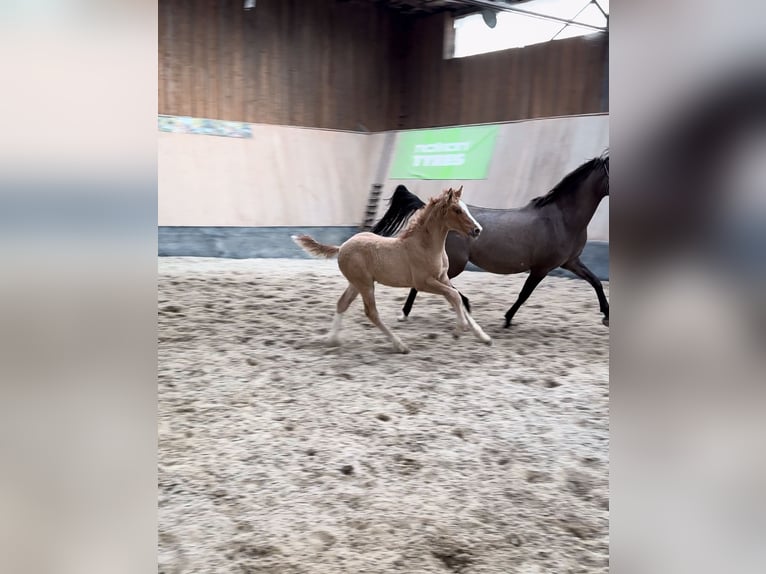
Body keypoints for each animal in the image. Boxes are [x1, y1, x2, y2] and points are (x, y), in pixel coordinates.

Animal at [294, 187, 492, 354]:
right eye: (457, 210)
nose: (478, 230)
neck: (425, 246)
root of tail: (342, 247)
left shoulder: (442, 278)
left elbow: (456, 298)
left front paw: (483, 337)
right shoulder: (423, 282)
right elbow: (455, 296)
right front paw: (459, 330)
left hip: (356, 284)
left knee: (342, 303)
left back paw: (332, 340)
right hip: (365, 285)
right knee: (371, 313)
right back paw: (400, 345)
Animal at [372, 155, 612, 328]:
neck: (561, 218)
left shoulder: (570, 261)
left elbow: (596, 282)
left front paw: (607, 316)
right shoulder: (542, 267)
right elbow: (524, 294)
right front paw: (507, 319)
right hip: (456, 263)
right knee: (430, 282)